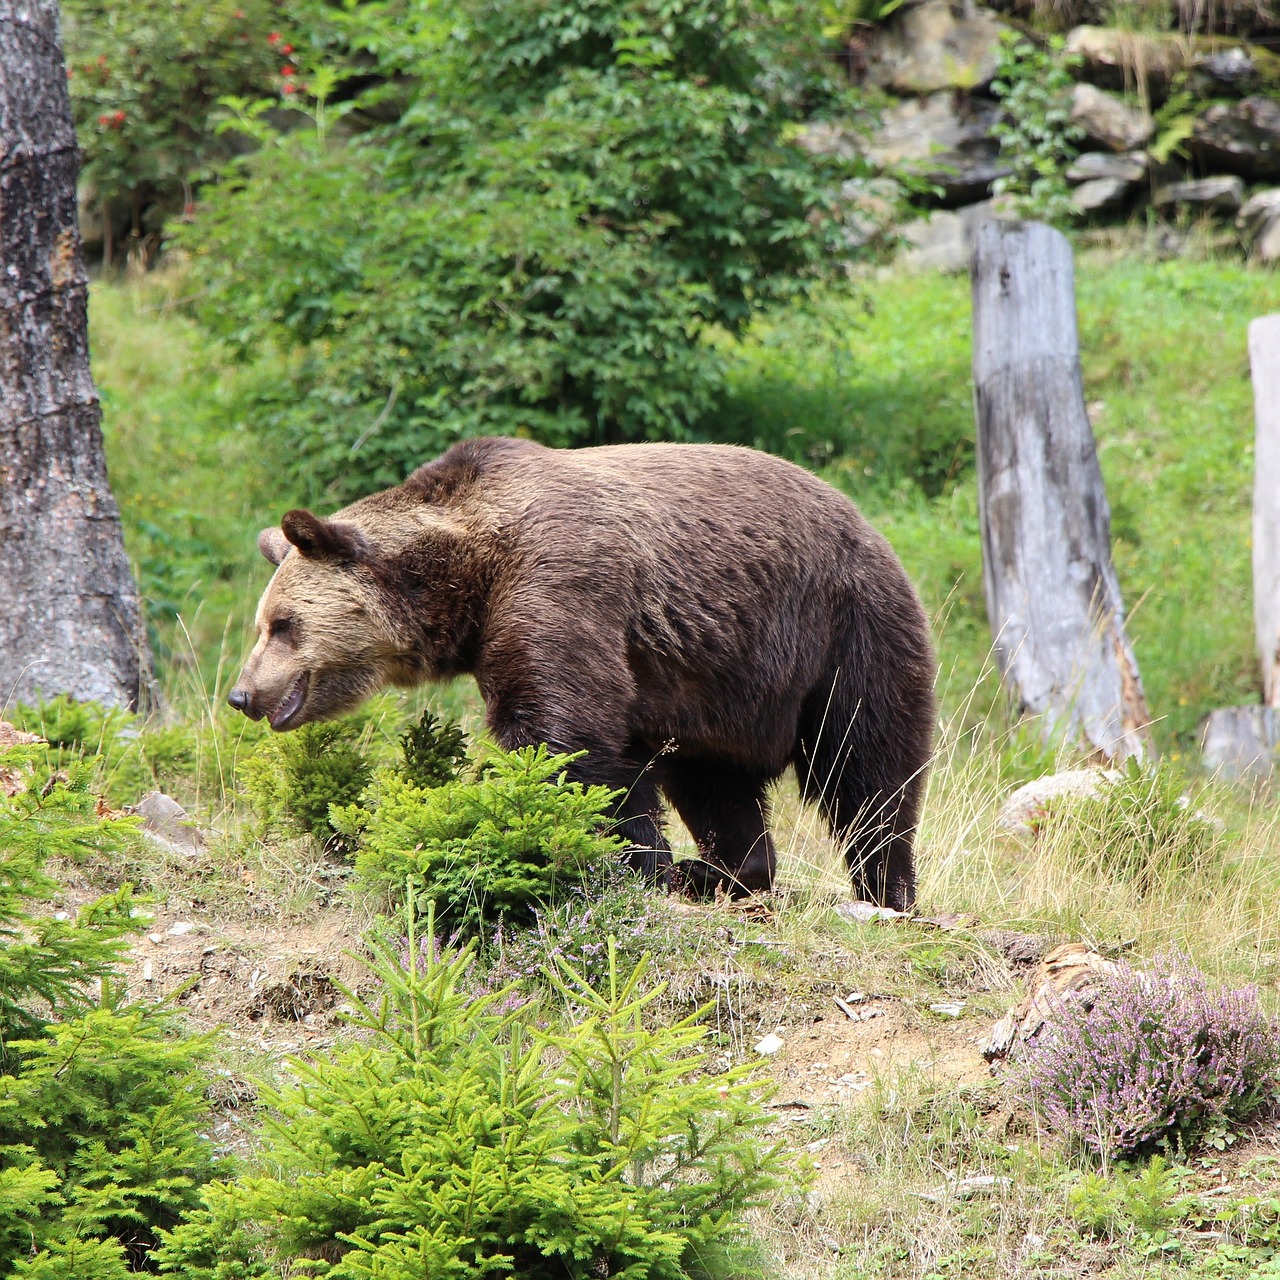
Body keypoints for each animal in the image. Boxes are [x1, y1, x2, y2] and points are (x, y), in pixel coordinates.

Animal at [225, 437, 936, 911]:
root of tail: (867, 521)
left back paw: (885, 886)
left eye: (283, 624)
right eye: (262, 623)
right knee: (715, 781)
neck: (468, 573)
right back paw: (720, 872)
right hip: (717, 682)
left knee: (866, 762)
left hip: (843, 628)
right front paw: (648, 862)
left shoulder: (559, 581)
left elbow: (564, 734)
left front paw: (608, 857)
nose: (242, 693)